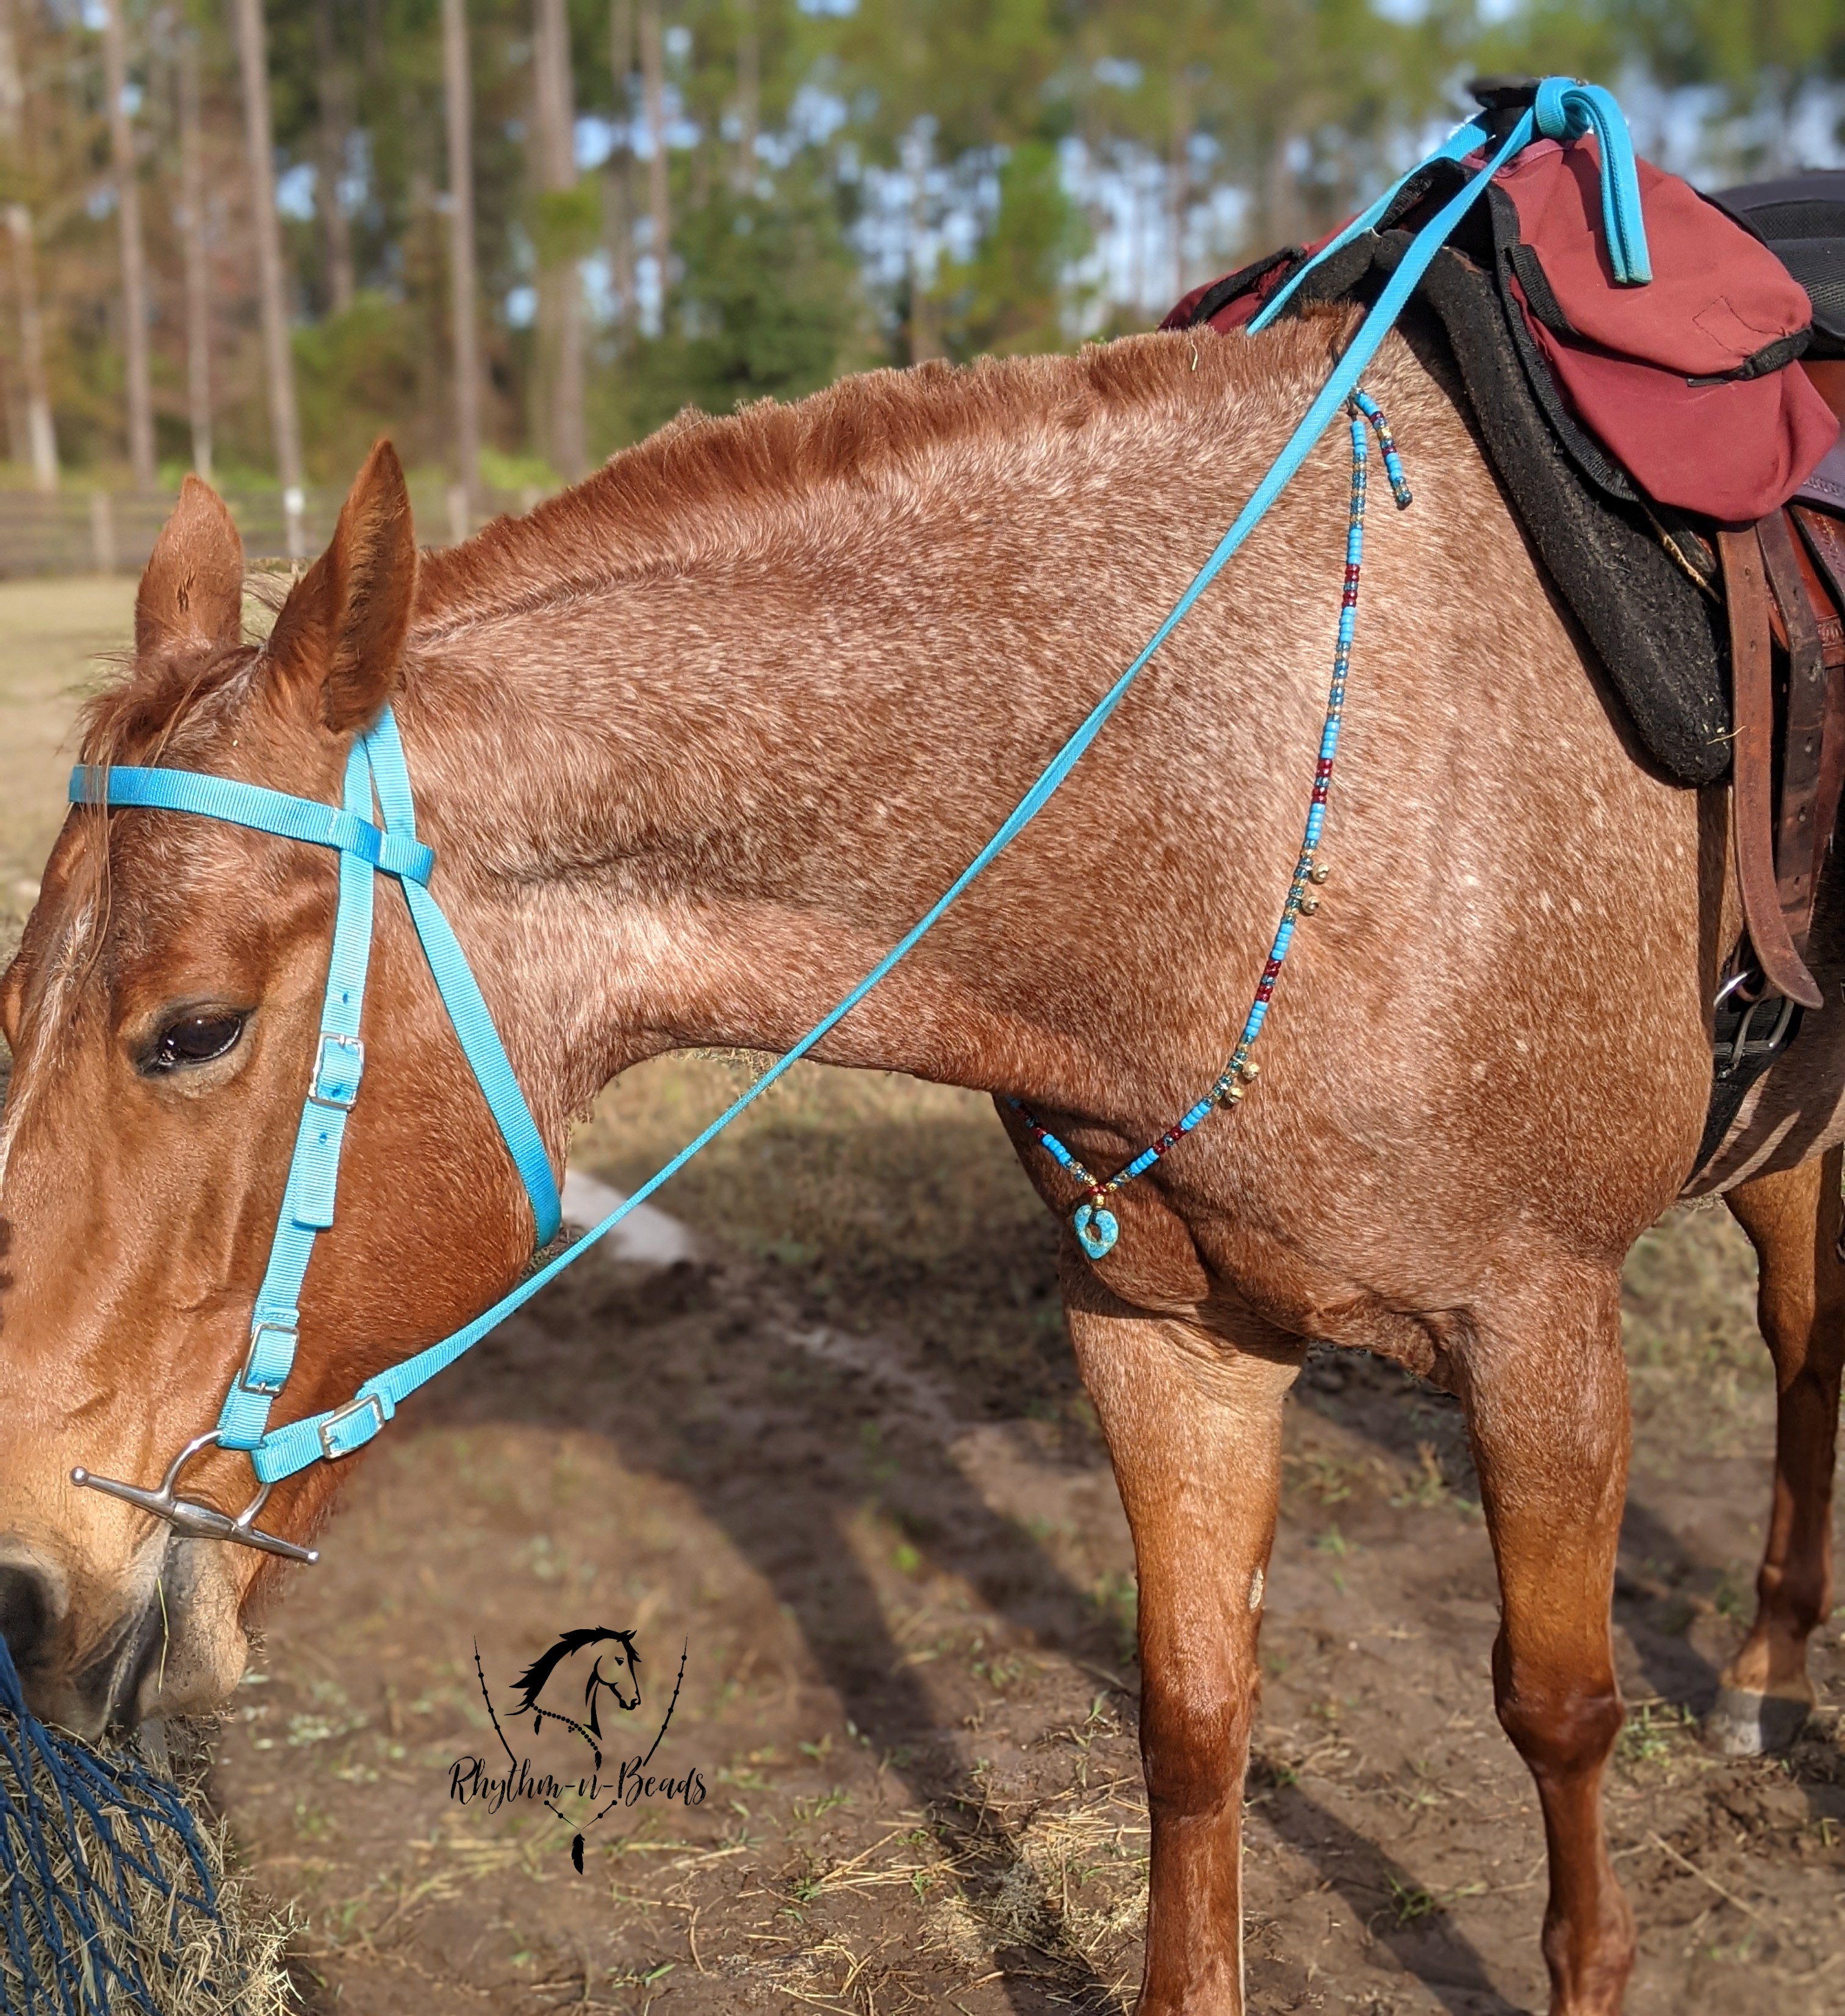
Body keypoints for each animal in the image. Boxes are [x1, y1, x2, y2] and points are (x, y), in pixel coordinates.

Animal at [0, 302, 1839, 2016]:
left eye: (195, 1029)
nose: (22, 1585)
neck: (1246, 799)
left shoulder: (1540, 1334)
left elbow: (1560, 1708)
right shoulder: (1168, 1338)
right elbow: (1193, 1713)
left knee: (1800, 1355)